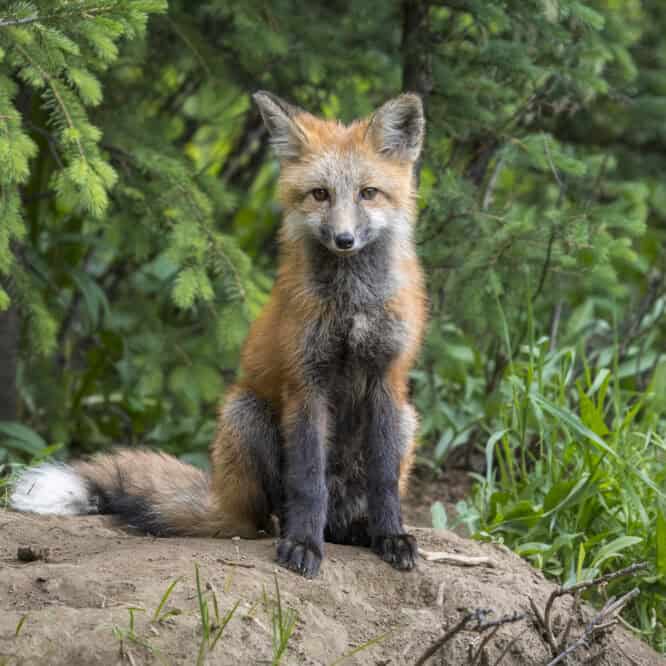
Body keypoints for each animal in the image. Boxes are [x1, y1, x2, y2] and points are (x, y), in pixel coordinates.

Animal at [10, 91, 428, 578]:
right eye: (320, 194)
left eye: (368, 193)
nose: (344, 239)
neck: (351, 305)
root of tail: (224, 498)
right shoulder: (306, 381)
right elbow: (308, 481)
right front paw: (303, 544)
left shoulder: (386, 378)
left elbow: (384, 480)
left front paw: (391, 537)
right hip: (244, 412)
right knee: (270, 516)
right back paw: (295, 530)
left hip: (407, 418)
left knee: (348, 511)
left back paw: (358, 531)